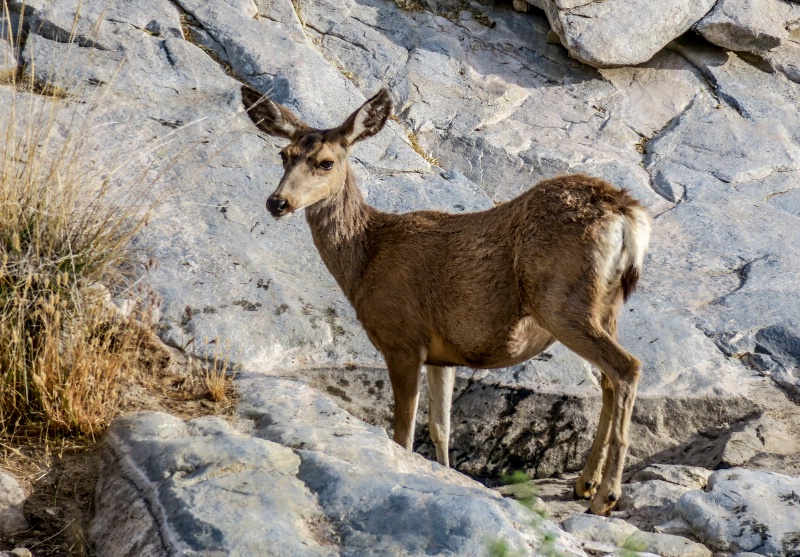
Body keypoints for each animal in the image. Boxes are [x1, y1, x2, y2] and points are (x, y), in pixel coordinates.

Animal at [242, 84, 648, 516]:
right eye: (283, 154)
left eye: (325, 162)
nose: (277, 202)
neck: (367, 257)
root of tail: (627, 213)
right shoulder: (442, 354)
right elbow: (440, 427)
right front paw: (445, 475)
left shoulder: (401, 339)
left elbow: (403, 432)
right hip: (607, 306)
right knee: (608, 380)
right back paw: (585, 484)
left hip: (561, 302)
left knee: (627, 367)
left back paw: (606, 496)